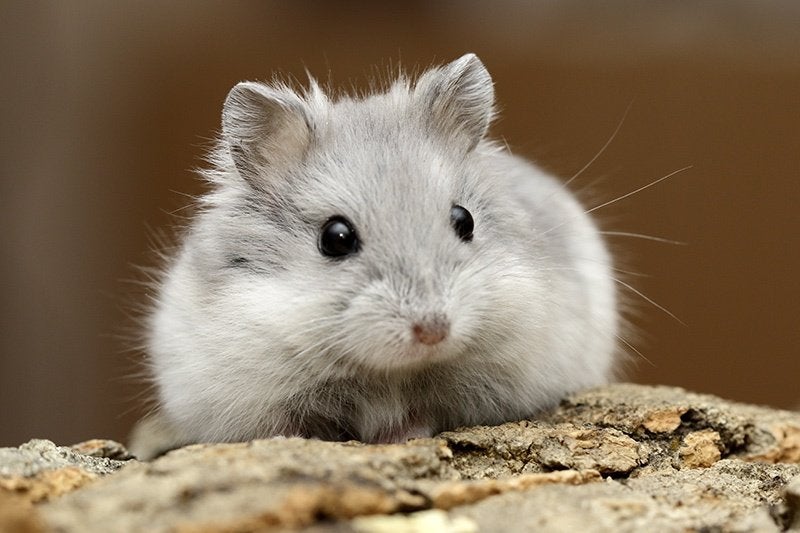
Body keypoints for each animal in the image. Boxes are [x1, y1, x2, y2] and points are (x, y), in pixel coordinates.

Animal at [135, 53, 618, 458]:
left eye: (464, 221)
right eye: (335, 238)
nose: (433, 331)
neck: (386, 372)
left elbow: (426, 412)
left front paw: (398, 436)